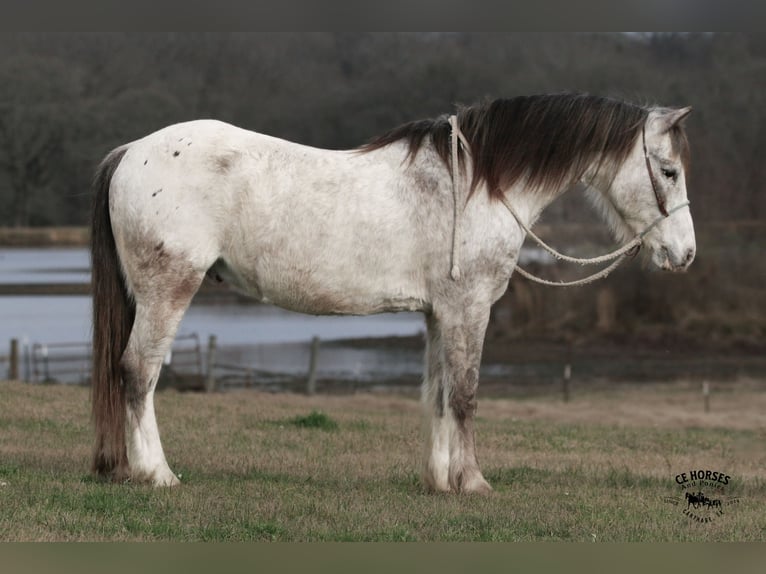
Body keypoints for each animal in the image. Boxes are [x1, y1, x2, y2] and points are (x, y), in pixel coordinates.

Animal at [91, 95, 696, 496]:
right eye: (668, 171)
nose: (685, 254)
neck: (473, 185)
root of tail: (130, 151)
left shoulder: (438, 314)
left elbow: (438, 394)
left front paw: (440, 481)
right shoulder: (469, 309)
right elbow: (467, 395)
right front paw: (473, 482)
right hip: (169, 289)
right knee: (138, 372)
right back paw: (157, 474)